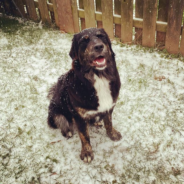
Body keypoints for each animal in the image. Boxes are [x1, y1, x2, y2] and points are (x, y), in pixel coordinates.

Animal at [47, 27, 122, 162]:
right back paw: (67, 131)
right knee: (61, 121)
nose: (99, 46)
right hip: (56, 110)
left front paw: (112, 134)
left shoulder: (109, 107)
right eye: (84, 40)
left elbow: (109, 123)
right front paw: (87, 152)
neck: (99, 76)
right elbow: (84, 136)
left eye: (101, 36)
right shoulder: (79, 116)